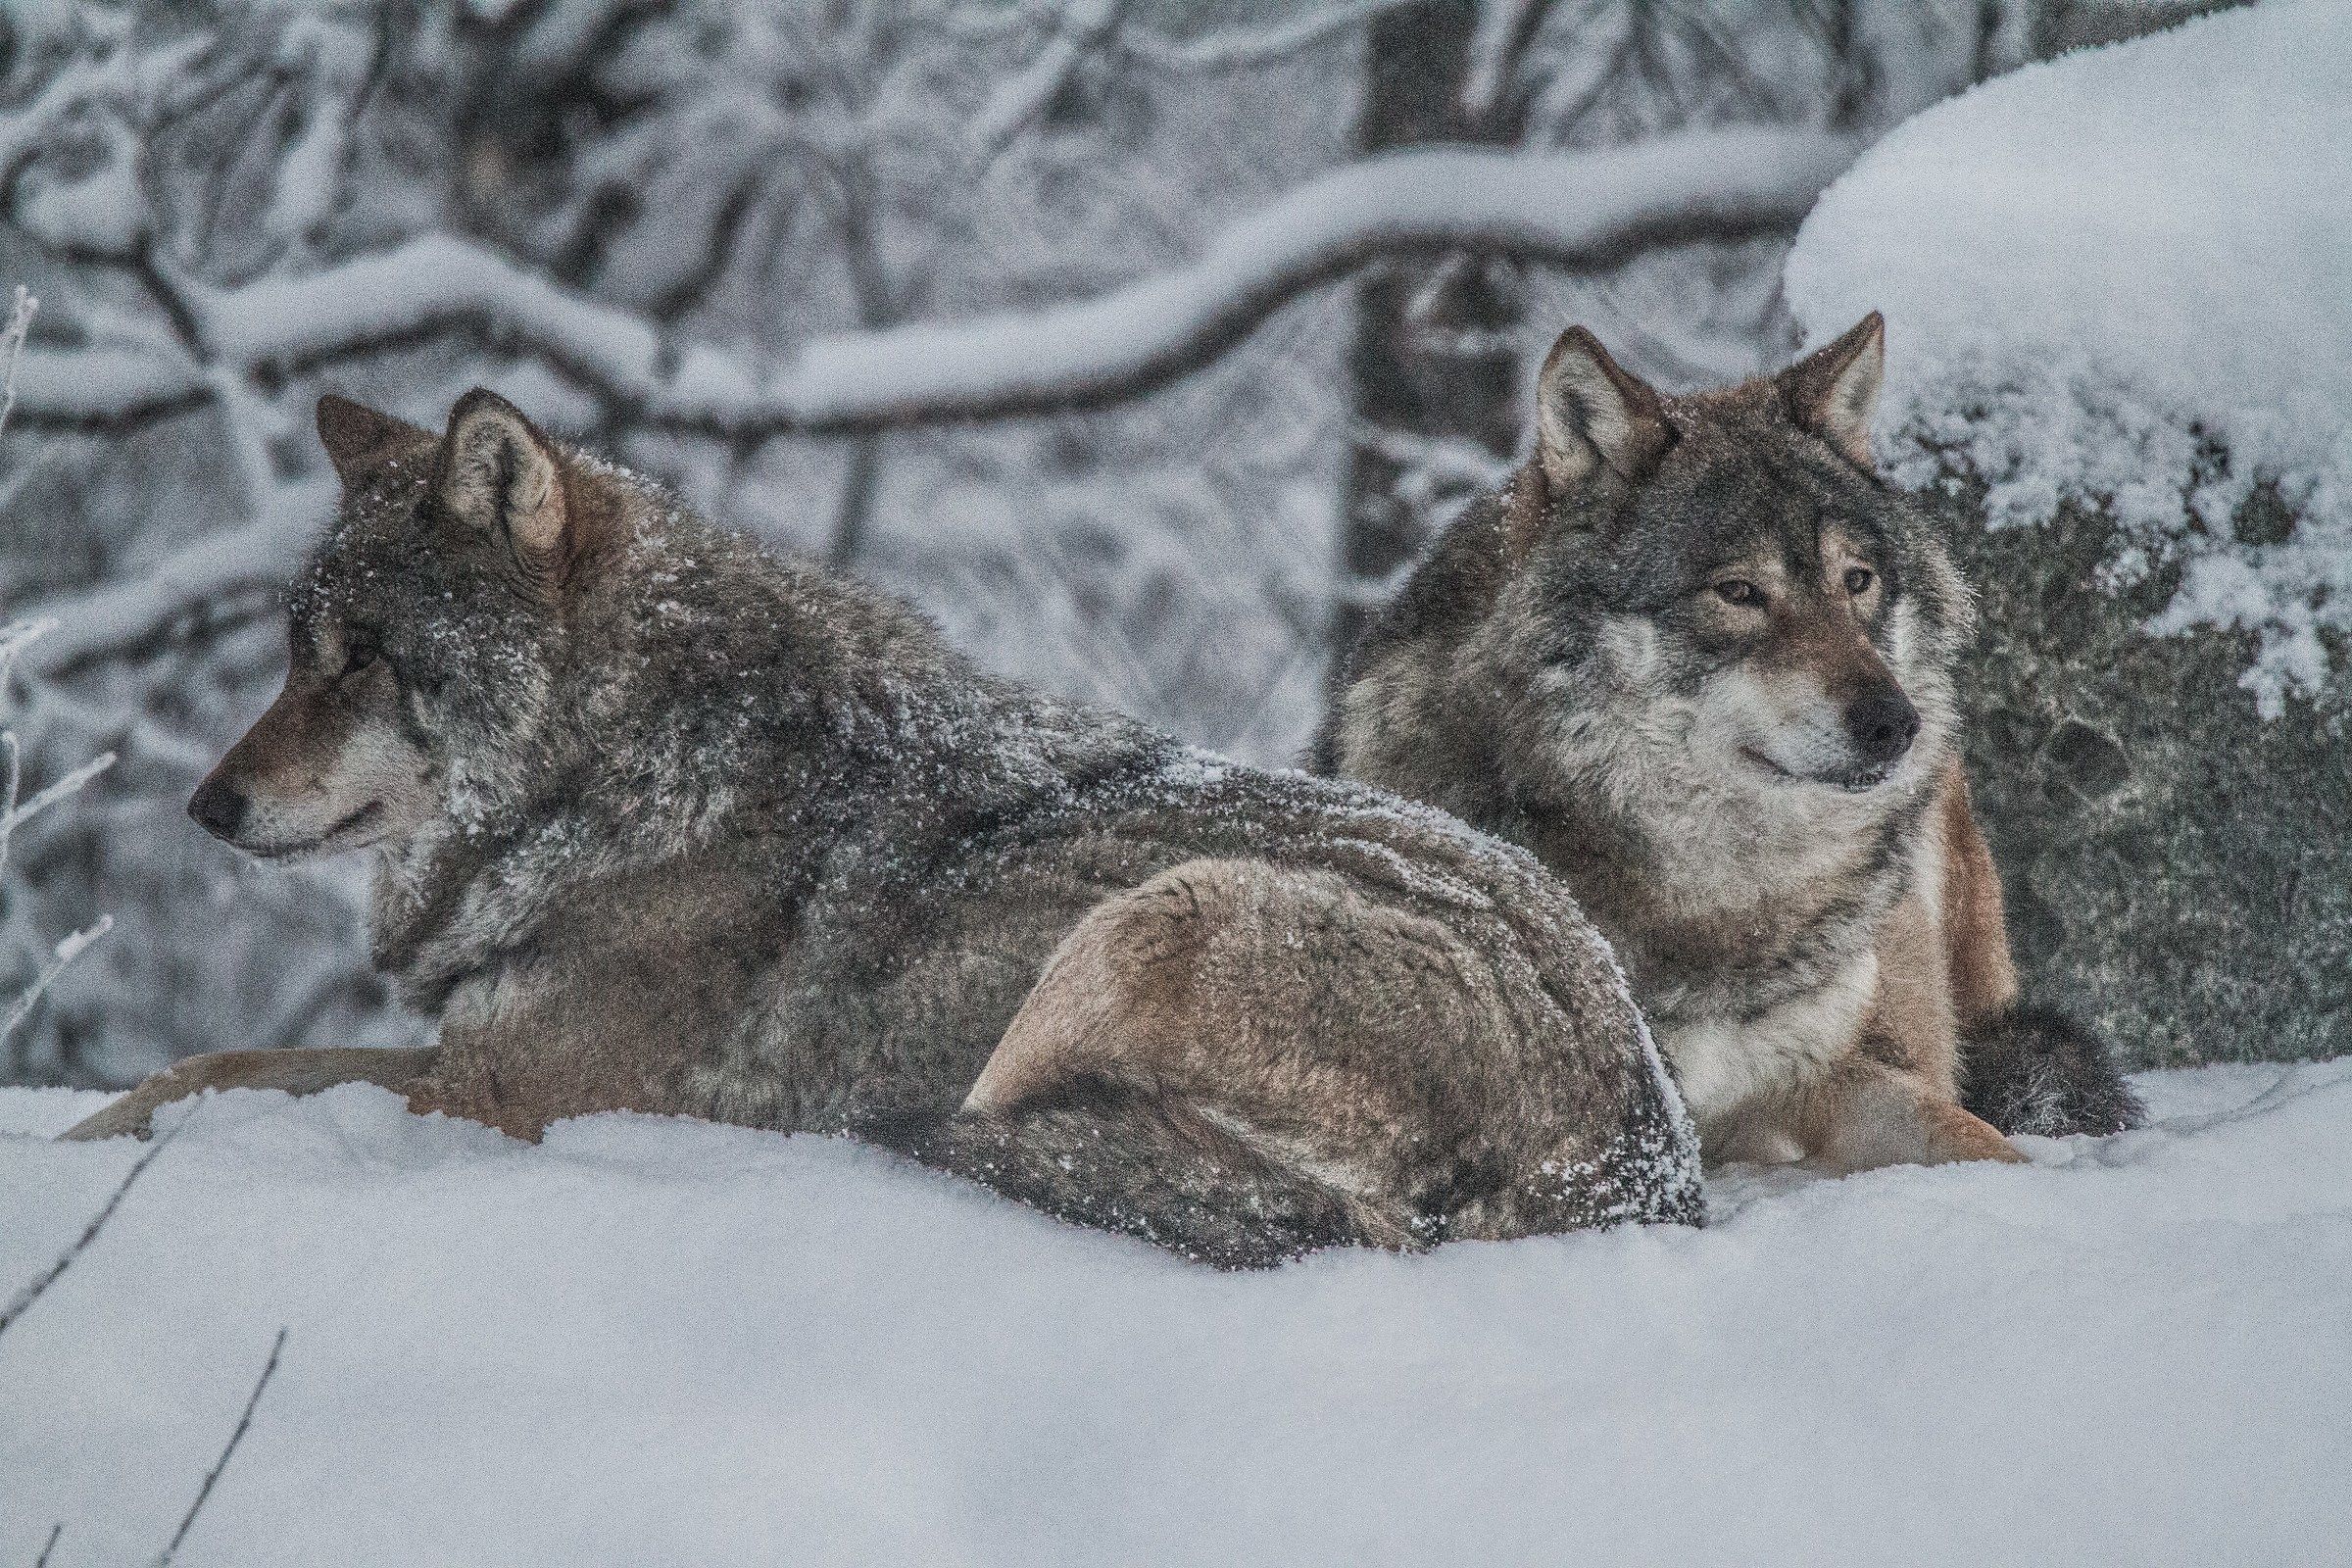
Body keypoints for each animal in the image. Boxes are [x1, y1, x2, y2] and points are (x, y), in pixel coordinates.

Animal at [63, 388, 1700, 1266]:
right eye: (292, 653)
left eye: (362, 661)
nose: (205, 806)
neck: (620, 780)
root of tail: (1644, 1165)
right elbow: (218, 1064)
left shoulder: (500, 1095)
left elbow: (218, 1068)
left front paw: (82, 1141)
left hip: (1146, 923)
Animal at [1315, 314, 2143, 1171]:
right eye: (1739, 592)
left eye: (1857, 580)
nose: (1895, 724)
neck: (1719, 898)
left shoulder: (1832, 1070)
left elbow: (1982, 1143)